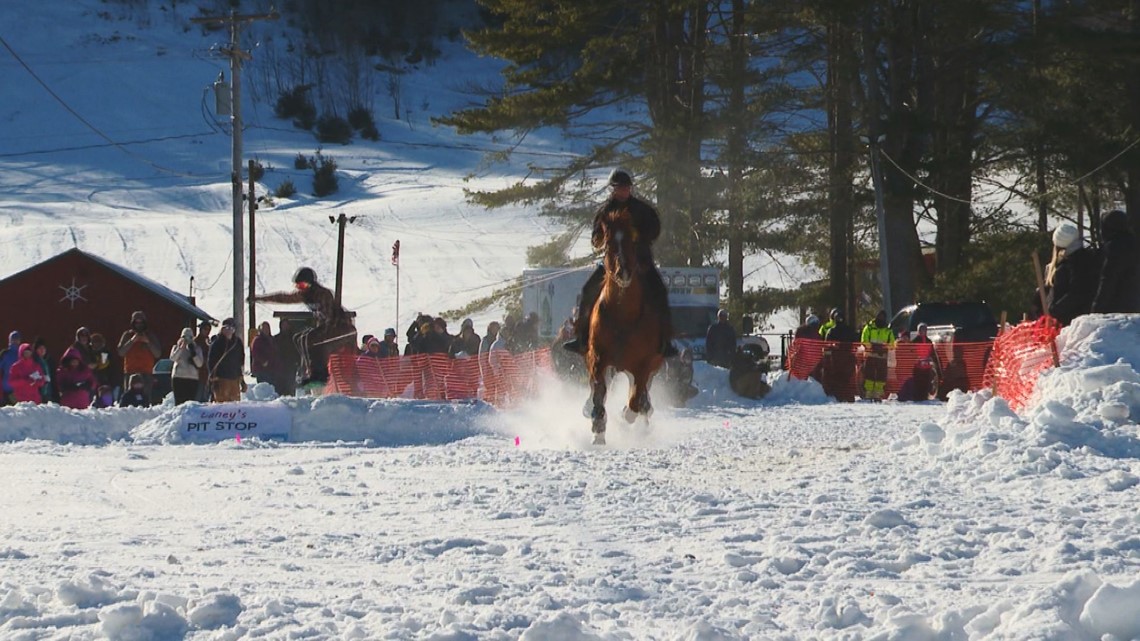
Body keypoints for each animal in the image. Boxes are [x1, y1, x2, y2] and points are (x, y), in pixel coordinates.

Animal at [585, 208, 666, 445]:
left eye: (633, 242)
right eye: (609, 243)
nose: (624, 272)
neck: (622, 314)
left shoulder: (644, 364)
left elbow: (636, 399)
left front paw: (627, 415)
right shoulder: (598, 358)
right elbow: (598, 391)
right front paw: (598, 428)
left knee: (641, 396)